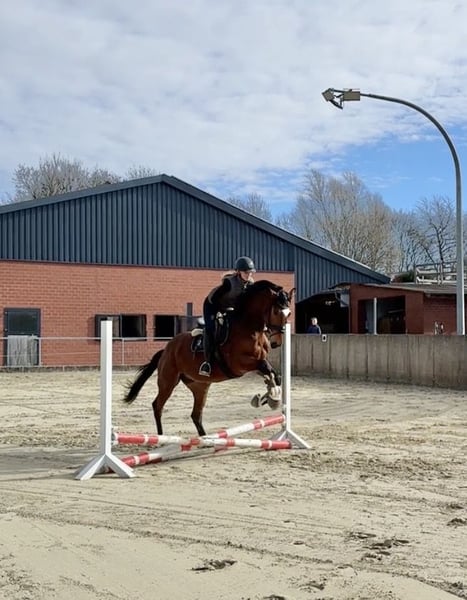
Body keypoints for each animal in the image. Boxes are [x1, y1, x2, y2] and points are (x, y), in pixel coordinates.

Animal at [123, 280, 295, 436]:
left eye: (289, 313)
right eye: (277, 312)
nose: (277, 342)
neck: (249, 327)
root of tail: (166, 349)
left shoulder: (256, 363)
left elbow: (273, 374)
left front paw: (269, 397)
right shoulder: (239, 364)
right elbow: (267, 369)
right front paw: (268, 398)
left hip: (200, 385)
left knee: (195, 414)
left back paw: (206, 439)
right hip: (168, 381)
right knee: (157, 406)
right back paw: (162, 436)